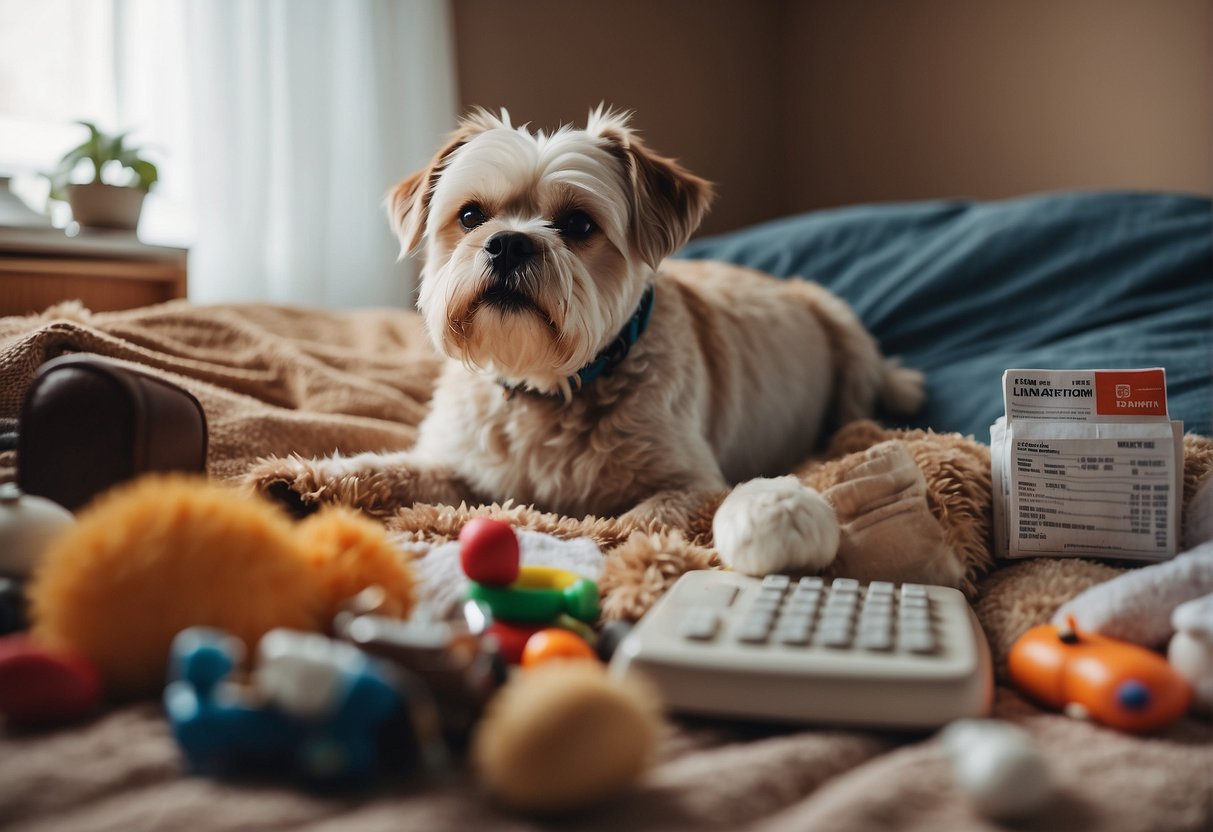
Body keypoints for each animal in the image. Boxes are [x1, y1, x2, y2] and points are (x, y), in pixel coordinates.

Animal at [251, 109, 921, 579]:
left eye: (577, 224)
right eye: (470, 216)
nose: (508, 243)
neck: (548, 386)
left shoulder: (694, 483)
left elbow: (643, 518)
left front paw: (608, 546)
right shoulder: (460, 468)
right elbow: (384, 469)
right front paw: (302, 479)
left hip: (842, 326)